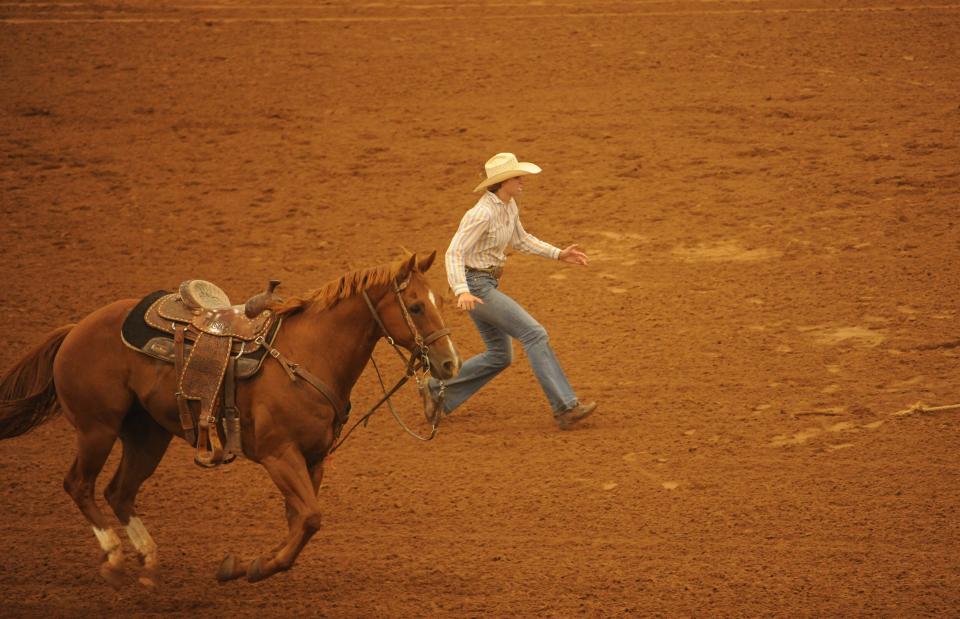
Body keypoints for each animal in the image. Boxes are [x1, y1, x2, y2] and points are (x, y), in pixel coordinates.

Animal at [0, 251, 462, 588]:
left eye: (439, 301)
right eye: (416, 306)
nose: (449, 363)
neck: (308, 354)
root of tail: (77, 327)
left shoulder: (313, 460)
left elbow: (299, 519)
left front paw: (245, 564)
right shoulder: (279, 455)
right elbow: (310, 517)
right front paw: (257, 566)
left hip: (147, 435)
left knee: (119, 491)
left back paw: (148, 561)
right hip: (97, 428)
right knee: (80, 484)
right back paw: (114, 558)